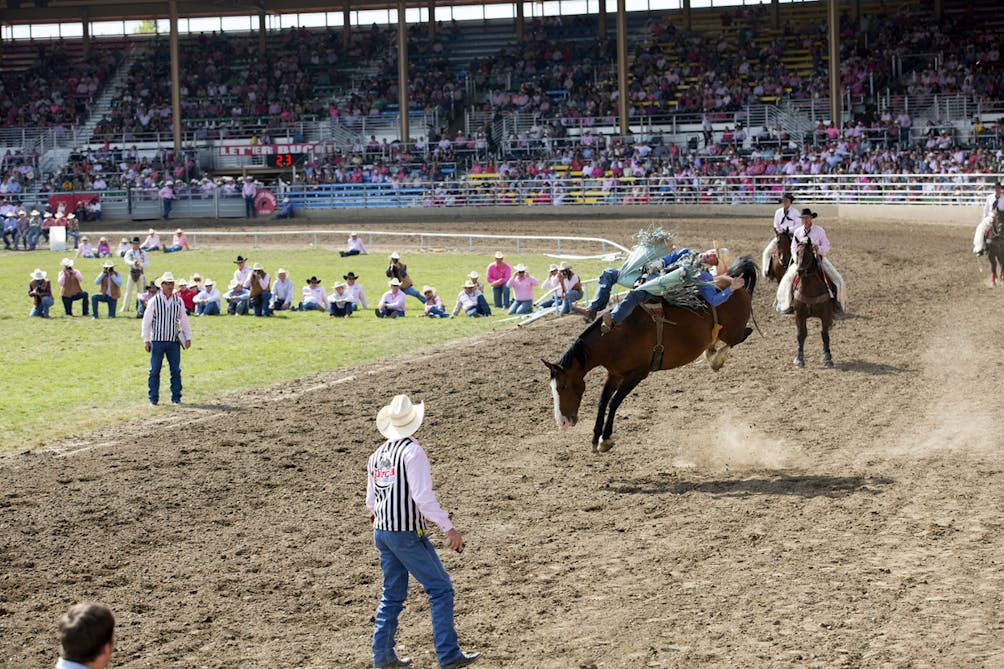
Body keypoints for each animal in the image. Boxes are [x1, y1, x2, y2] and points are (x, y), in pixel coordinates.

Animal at [546, 257, 755, 450]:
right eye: (553, 388)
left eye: (563, 386)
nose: (562, 423)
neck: (616, 335)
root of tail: (732, 280)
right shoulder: (614, 374)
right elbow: (602, 401)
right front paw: (595, 437)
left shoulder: (638, 374)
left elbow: (614, 401)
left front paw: (605, 439)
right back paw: (711, 350)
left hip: (733, 332)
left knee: (744, 334)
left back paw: (715, 359)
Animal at [791, 238, 831, 367]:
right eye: (797, 252)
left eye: (808, 253)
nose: (800, 271)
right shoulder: (799, 315)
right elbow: (801, 335)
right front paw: (799, 359)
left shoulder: (825, 315)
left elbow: (824, 334)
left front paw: (827, 357)